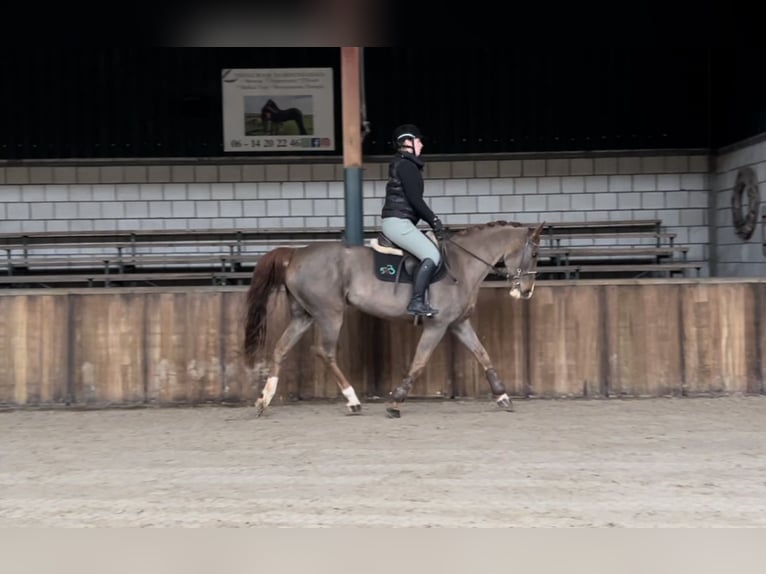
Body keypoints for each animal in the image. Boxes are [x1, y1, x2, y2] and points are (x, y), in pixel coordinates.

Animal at [244, 220, 544, 418]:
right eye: (534, 253)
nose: (526, 291)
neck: (461, 264)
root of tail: (296, 252)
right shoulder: (437, 325)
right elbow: (419, 361)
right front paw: (395, 401)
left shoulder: (459, 323)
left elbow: (483, 355)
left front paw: (502, 396)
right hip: (330, 313)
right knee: (324, 351)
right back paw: (352, 400)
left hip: (304, 315)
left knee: (281, 348)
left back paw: (264, 400)